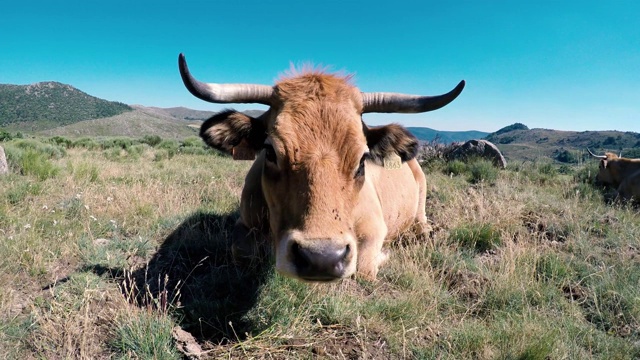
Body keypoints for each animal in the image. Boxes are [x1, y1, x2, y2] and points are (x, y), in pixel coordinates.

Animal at [180, 54, 464, 282]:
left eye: (362, 159)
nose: (321, 258)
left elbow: (363, 268)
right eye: (270, 151)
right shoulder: (244, 223)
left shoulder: (374, 228)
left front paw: (384, 255)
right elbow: (241, 251)